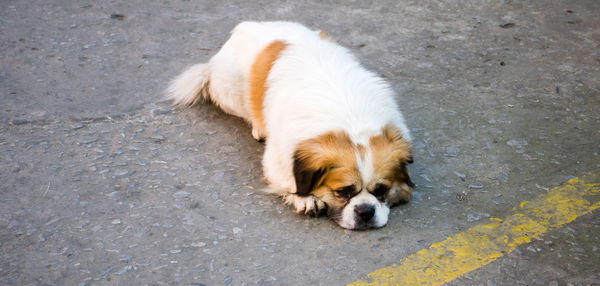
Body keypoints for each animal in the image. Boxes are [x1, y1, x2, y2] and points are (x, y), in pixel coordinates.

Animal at [166, 21, 414, 229]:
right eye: (343, 192)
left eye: (381, 190)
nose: (365, 211)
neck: (350, 123)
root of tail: (245, 26)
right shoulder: (278, 158)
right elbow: (290, 181)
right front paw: (305, 199)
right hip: (230, 93)